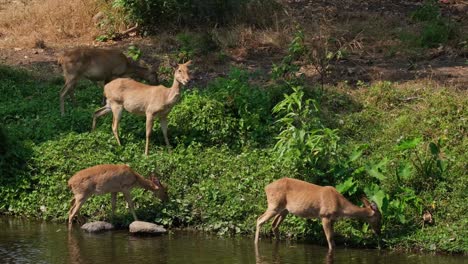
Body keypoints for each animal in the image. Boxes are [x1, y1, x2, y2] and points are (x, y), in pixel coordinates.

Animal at [254, 177, 382, 252]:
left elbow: (333, 238)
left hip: (284, 210)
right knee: (259, 219)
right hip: (274, 205)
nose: (379, 232)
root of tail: (266, 187)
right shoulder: (325, 216)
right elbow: (329, 238)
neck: (340, 206)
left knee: (274, 225)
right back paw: (256, 243)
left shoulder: (333, 219)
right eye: (379, 218)